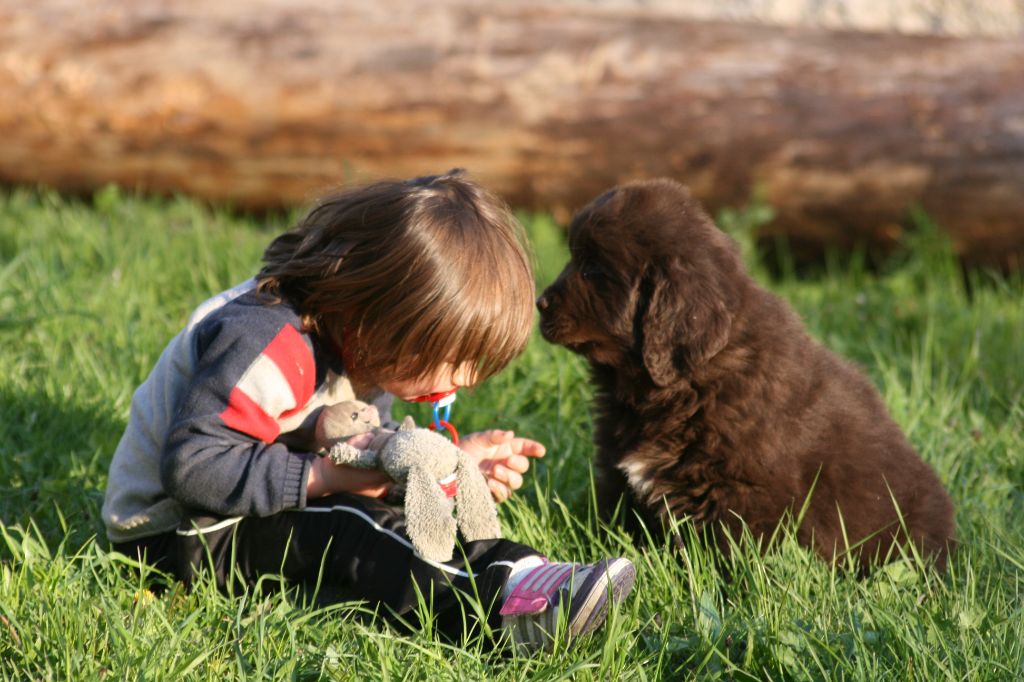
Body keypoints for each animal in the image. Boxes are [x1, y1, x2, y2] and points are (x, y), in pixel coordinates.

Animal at [540, 178, 954, 569]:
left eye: (593, 269)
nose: (540, 302)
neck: (684, 380)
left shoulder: (745, 494)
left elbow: (735, 558)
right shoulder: (618, 472)